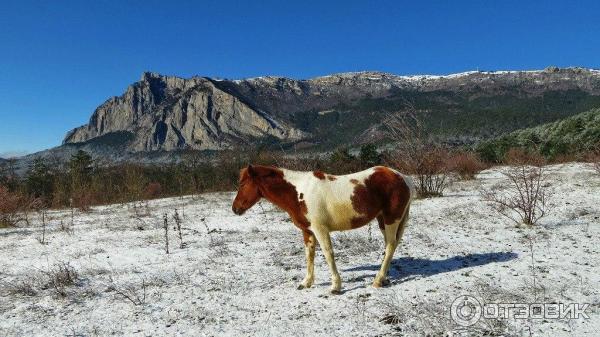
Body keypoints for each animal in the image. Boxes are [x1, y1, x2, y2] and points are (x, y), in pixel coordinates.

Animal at [232, 164, 414, 292]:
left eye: (242, 184)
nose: (235, 209)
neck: (298, 192)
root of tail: (403, 177)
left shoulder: (320, 229)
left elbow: (328, 254)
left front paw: (335, 286)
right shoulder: (307, 231)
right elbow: (309, 255)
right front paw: (306, 282)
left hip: (391, 220)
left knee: (390, 246)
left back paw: (377, 280)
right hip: (382, 220)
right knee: (391, 246)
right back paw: (383, 279)